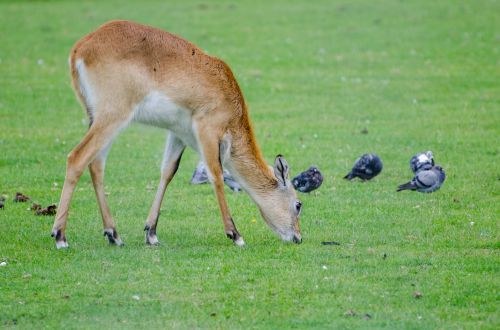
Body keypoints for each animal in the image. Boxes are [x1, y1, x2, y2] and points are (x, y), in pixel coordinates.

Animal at [50, 20, 302, 248]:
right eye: (298, 204)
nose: (298, 237)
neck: (228, 96)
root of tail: (81, 48)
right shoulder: (207, 130)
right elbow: (216, 174)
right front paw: (235, 235)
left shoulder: (178, 134)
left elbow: (168, 172)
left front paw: (151, 233)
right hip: (113, 117)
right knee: (77, 158)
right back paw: (60, 236)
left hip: (99, 119)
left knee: (96, 165)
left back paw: (114, 234)